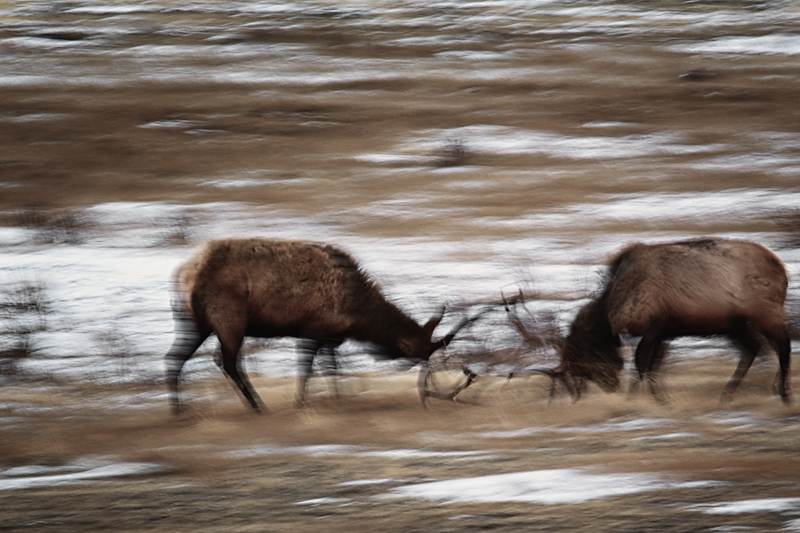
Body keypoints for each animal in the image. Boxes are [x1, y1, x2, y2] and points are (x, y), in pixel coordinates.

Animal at [166, 239, 472, 414]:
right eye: (417, 357)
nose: (427, 388)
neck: (358, 315)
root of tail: (183, 274)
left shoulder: (329, 336)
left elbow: (331, 368)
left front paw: (338, 397)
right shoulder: (312, 330)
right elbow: (307, 370)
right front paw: (300, 402)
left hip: (193, 321)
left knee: (173, 358)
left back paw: (178, 410)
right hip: (229, 319)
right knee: (227, 361)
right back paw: (257, 406)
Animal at [560, 238, 792, 404]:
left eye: (584, 353)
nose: (610, 385)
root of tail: (782, 271)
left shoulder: (653, 328)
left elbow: (642, 363)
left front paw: (638, 398)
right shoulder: (662, 333)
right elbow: (653, 367)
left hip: (764, 313)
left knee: (782, 345)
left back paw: (784, 394)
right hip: (734, 324)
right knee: (754, 348)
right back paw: (729, 393)